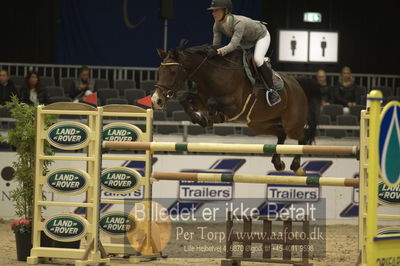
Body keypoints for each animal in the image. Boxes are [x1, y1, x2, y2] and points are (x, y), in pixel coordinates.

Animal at [152, 45, 320, 175]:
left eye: (173, 72)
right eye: (159, 71)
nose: (156, 100)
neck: (213, 75)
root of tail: (298, 85)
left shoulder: (235, 106)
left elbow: (213, 103)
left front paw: (213, 119)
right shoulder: (201, 100)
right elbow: (184, 97)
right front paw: (200, 119)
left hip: (292, 124)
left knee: (302, 137)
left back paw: (296, 166)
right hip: (259, 124)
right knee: (281, 134)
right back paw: (278, 163)